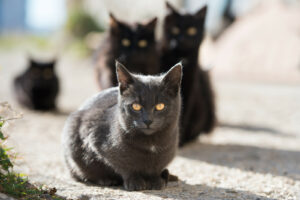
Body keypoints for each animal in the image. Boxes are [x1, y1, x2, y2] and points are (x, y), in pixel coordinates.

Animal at [62, 61, 182, 191]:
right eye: (136, 106)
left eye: (160, 106)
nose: (148, 120)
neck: (151, 144)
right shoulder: (93, 135)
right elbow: (124, 166)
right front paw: (134, 181)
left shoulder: (166, 153)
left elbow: (156, 167)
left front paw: (155, 180)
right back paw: (106, 180)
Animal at [162, 2, 216, 146]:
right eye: (175, 30)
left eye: (192, 30)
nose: (182, 39)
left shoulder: (191, 86)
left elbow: (183, 113)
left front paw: (178, 142)